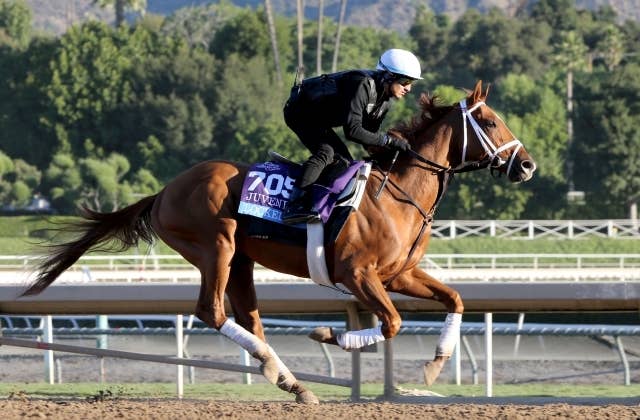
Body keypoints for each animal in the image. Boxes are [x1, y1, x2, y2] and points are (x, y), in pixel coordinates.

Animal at [21, 80, 536, 404]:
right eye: (491, 122)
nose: (527, 165)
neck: (397, 194)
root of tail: (165, 191)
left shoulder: (399, 274)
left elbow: (455, 299)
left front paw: (435, 364)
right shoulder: (357, 274)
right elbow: (390, 322)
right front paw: (330, 334)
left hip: (241, 262)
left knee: (248, 317)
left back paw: (289, 380)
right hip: (217, 247)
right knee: (212, 311)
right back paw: (281, 372)